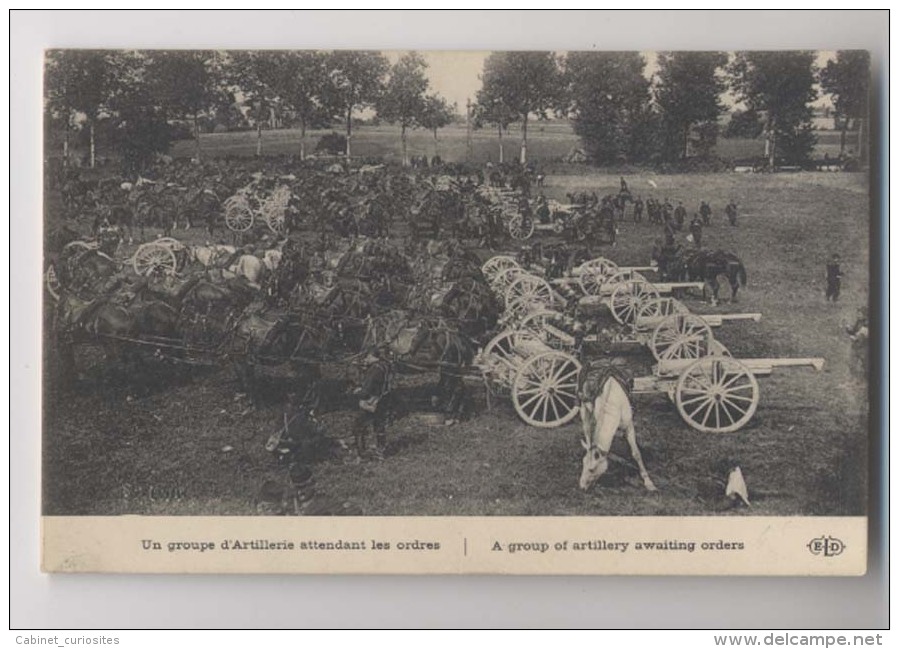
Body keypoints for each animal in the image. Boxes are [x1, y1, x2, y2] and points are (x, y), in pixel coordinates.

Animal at [580, 364, 656, 492]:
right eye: (583, 463)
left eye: (592, 469)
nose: (581, 486)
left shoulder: (629, 425)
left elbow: (636, 453)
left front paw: (648, 482)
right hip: (583, 410)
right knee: (587, 432)